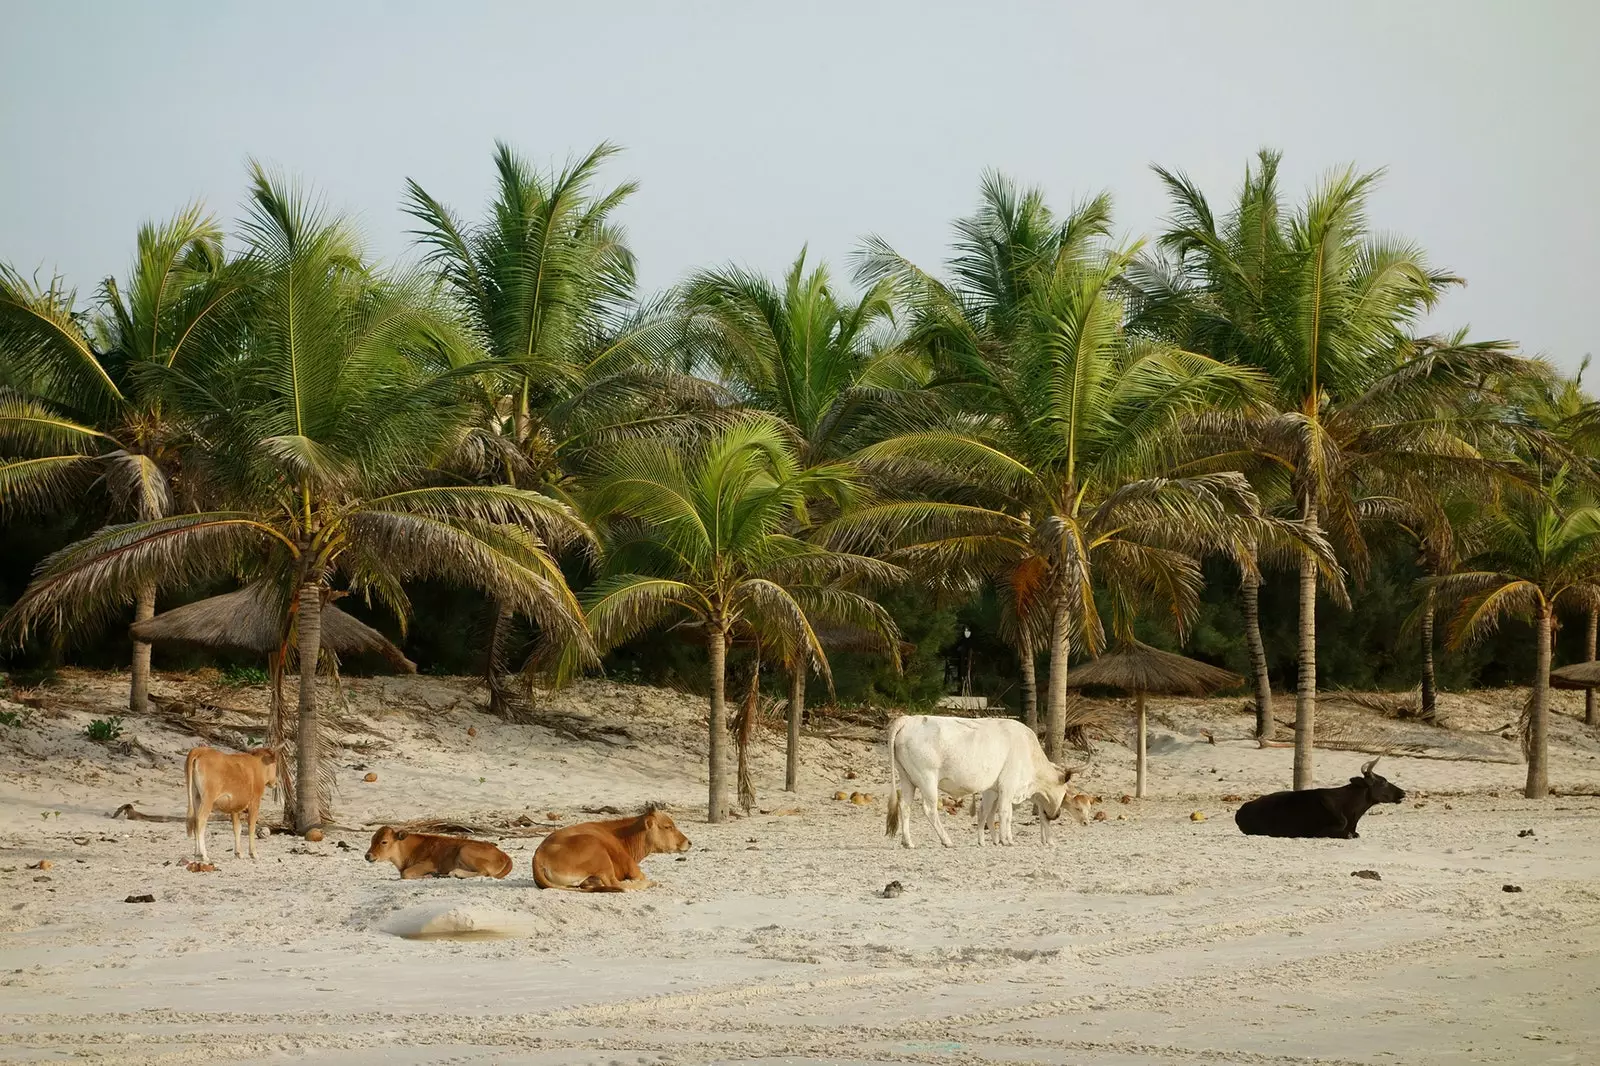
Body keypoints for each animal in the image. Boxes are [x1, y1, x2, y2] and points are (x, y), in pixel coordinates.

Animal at [363, 825, 512, 877]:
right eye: (372, 840)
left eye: (384, 842)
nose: (367, 856)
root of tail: (504, 855)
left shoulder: (428, 864)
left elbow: (405, 873)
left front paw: (429, 875)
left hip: (465, 850)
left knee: (484, 872)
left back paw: (454, 873)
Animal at [534, 806, 691, 889]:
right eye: (668, 827)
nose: (689, 842)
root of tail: (538, 855)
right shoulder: (633, 869)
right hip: (598, 852)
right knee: (616, 884)